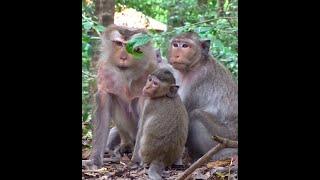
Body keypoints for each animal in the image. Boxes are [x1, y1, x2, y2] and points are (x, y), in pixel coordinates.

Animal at [82, 23, 158, 169]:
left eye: (134, 47)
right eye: (118, 44)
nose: (123, 57)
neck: (126, 73)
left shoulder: (150, 73)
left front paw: (137, 160)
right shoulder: (104, 71)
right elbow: (104, 101)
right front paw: (95, 160)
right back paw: (126, 144)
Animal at [168, 32, 238, 162]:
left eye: (185, 45)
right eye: (175, 44)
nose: (176, 55)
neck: (196, 64)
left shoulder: (198, 79)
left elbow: (184, 114)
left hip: (224, 135)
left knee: (196, 115)